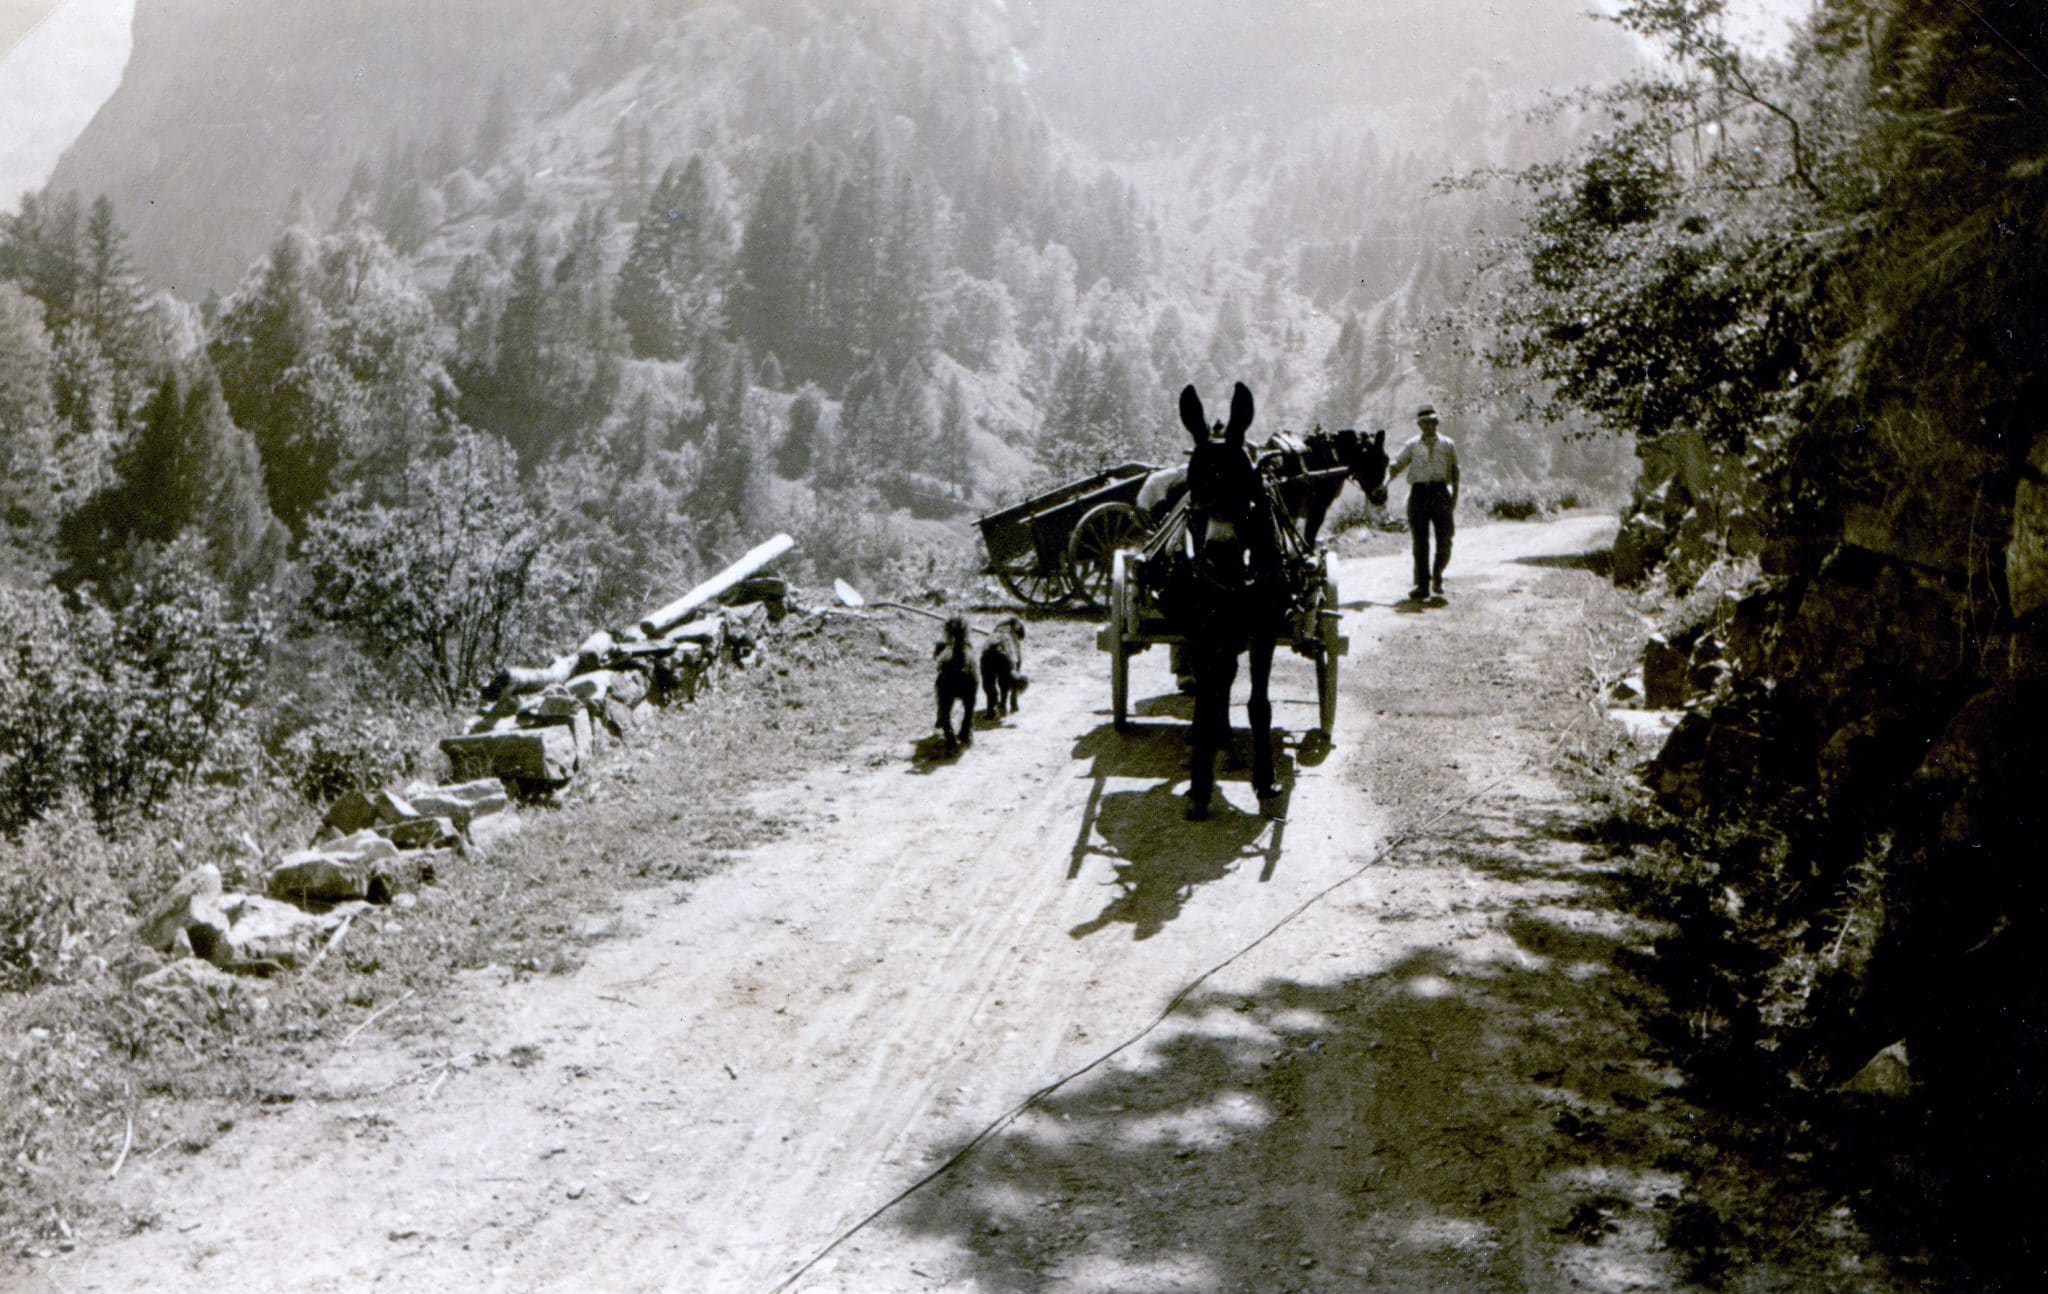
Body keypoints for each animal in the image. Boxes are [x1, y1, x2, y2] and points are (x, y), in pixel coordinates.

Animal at [933, 616, 979, 752]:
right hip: (969, 695)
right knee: (967, 716)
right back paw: (964, 737)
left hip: (947, 696)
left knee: (947, 718)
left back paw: (952, 741)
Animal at [1171, 381, 1296, 821]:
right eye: (1194, 485)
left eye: (1244, 483)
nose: (1220, 553)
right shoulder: (1203, 631)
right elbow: (1207, 696)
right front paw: (1199, 787)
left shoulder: (1264, 631)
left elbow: (1259, 703)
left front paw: (1265, 779)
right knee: (1215, 684)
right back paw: (1212, 742)